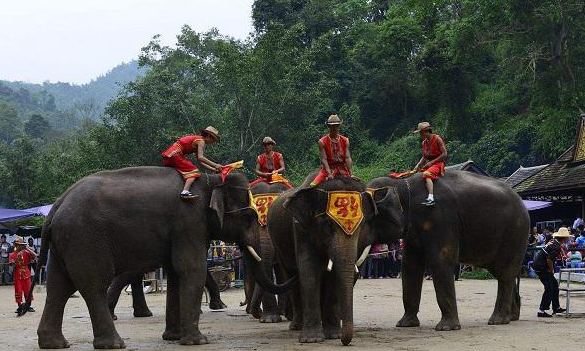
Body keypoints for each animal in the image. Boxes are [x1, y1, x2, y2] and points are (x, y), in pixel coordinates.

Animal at [34, 168, 290, 350]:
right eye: (249, 217)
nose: (251, 312)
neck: (211, 180)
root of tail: (56, 207)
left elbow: (176, 273)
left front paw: (173, 337)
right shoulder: (189, 222)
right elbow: (192, 269)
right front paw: (198, 341)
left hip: (65, 243)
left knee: (59, 287)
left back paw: (55, 344)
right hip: (85, 239)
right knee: (93, 285)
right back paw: (113, 344)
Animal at [266, 173, 376, 346]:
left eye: (361, 225)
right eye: (328, 224)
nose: (345, 341)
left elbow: (332, 277)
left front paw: (333, 336)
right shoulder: (301, 228)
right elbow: (309, 271)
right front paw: (312, 339)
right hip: (278, 244)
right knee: (292, 277)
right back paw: (297, 326)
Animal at [370, 172, 528, 332]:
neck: (403, 184)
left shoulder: (440, 218)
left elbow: (440, 260)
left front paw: (446, 328)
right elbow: (410, 265)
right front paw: (405, 324)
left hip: (514, 234)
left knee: (505, 273)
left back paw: (498, 320)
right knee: (504, 273)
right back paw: (512, 317)